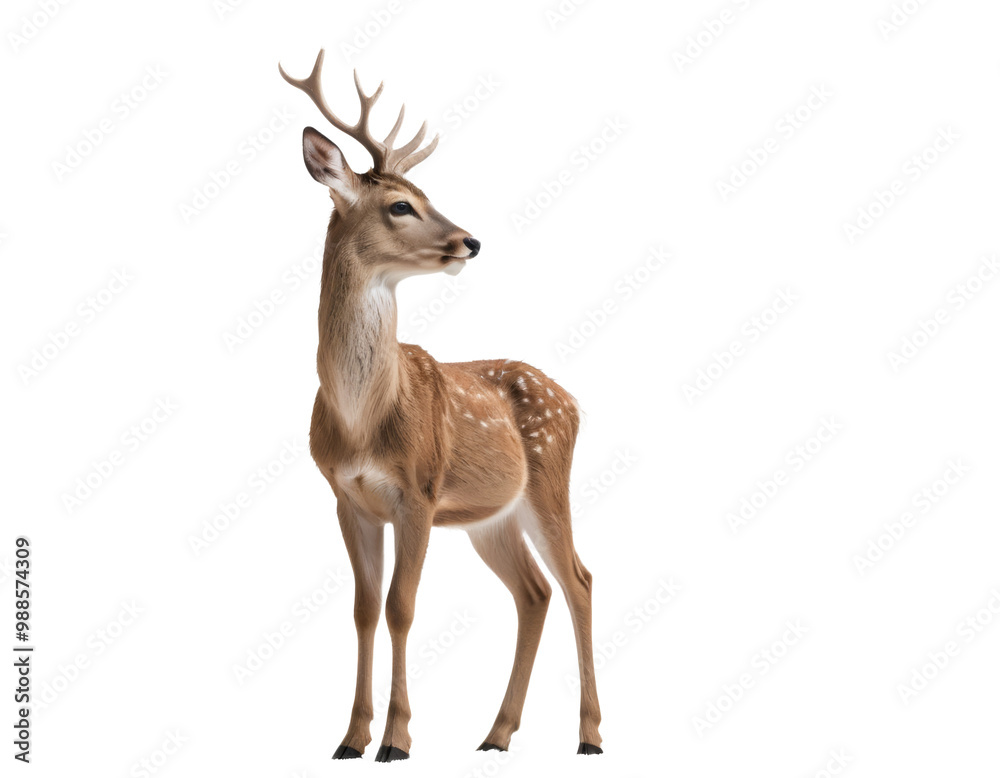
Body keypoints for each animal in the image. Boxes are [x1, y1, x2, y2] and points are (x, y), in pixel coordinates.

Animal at [278, 50, 603, 762]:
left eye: (427, 195)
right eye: (401, 204)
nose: (470, 242)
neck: (361, 420)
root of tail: (572, 399)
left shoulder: (419, 491)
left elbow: (402, 606)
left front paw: (397, 739)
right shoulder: (346, 496)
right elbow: (364, 609)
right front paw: (351, 738)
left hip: (549, 482)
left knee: (579, 580)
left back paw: (590, 735)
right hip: (492, 517)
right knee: (535, 592)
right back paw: (496, 734)